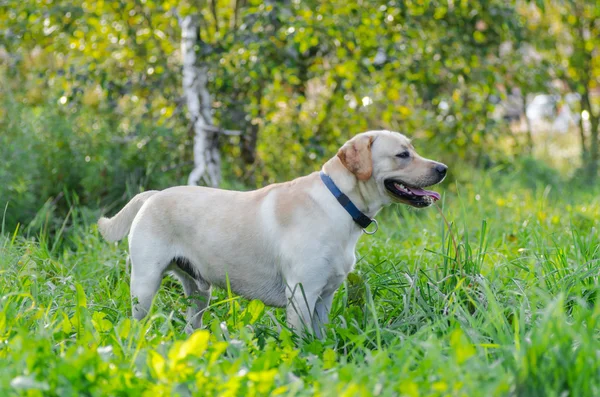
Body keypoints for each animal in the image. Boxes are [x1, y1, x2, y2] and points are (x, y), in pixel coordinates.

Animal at [98, 130, 446, 334]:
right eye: (403, 154)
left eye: (412, 150)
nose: (442, 168)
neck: (339, 203)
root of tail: (153, 194)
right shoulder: (302, 295)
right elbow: (300, 339)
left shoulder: (324, 297)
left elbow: (320, 337)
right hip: (144, 286)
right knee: (136, 322)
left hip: (199, 292)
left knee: (191, 323)